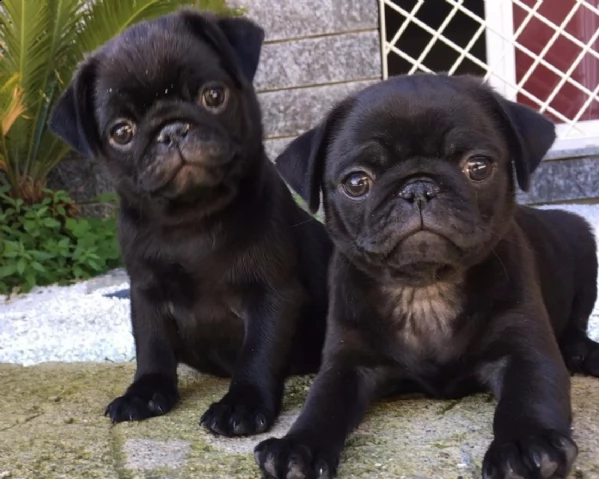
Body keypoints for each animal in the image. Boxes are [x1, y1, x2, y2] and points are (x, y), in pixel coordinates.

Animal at [48, 10, 332, 438]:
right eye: (122, 132)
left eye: (213, 96)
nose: (171, 130)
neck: (191, 219)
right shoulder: (146, 293)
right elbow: (152, 347)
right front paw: (144, 391)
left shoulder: (272, 292)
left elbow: (259, 351)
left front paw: (242, 403)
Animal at [254, 73, 599, 478]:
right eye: (356, 183)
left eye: (478, 166)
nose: (418, 187)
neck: (424, 288)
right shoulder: (347, 362)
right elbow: (323, 402)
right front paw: (298, 446)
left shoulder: (525, 350)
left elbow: (530, 395)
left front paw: (526, 443)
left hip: (583, 242)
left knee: (576, 324)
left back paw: (586, 353)